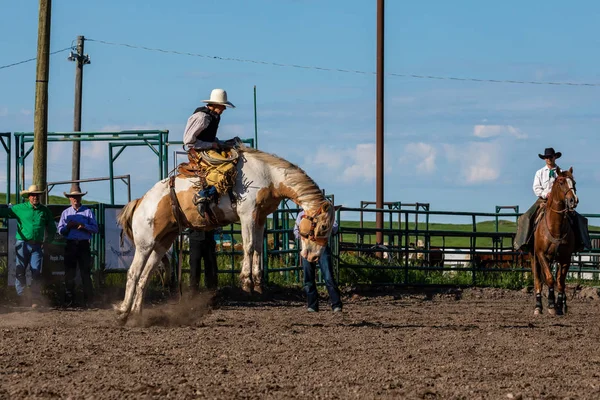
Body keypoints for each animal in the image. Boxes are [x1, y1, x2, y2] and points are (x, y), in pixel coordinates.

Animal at [115, 145, 336, 324]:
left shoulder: (259, 217)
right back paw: (123, 312)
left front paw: (258, 282)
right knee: (133, 273)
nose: (313, 257)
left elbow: (258, 247)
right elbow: (248, 245)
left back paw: (136, 315)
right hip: (145, 243)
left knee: (144, 277)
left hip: (162, 242)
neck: (267, 175)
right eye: (322, 228)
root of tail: (140, 201)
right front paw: (246, 281)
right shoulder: (247, 212)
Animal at [532, 166, 580, 316]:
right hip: (534, 257)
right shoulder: (541, 254)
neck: (555, 227)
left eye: (574, 182)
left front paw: (558, 306)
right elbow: (549, 279)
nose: (573, 200)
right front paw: (551, 305)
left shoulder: (565, 258)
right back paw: (538, 307)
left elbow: (560, 282)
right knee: (538, 280)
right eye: (561, 182)